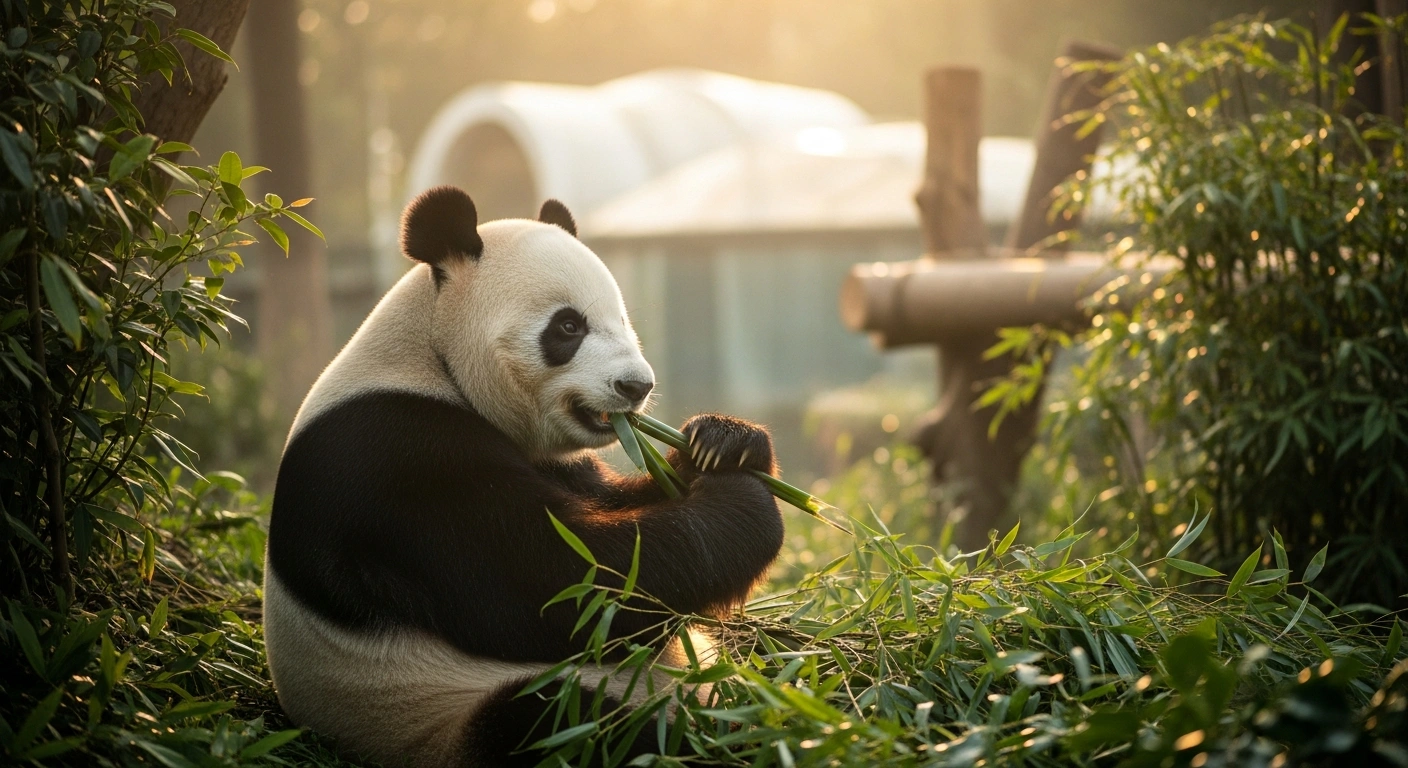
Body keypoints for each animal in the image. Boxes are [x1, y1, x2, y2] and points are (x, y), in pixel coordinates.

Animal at [263, 186, 785, 768]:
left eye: (623, 320)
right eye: (568, 326)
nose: (636, 387)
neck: (430, 356)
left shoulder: (556, 461)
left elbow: (613, 506)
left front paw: (723, 444)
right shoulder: (395, 460)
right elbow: (566, 583)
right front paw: (743, 502)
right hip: (437, 712)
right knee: (566, 721)